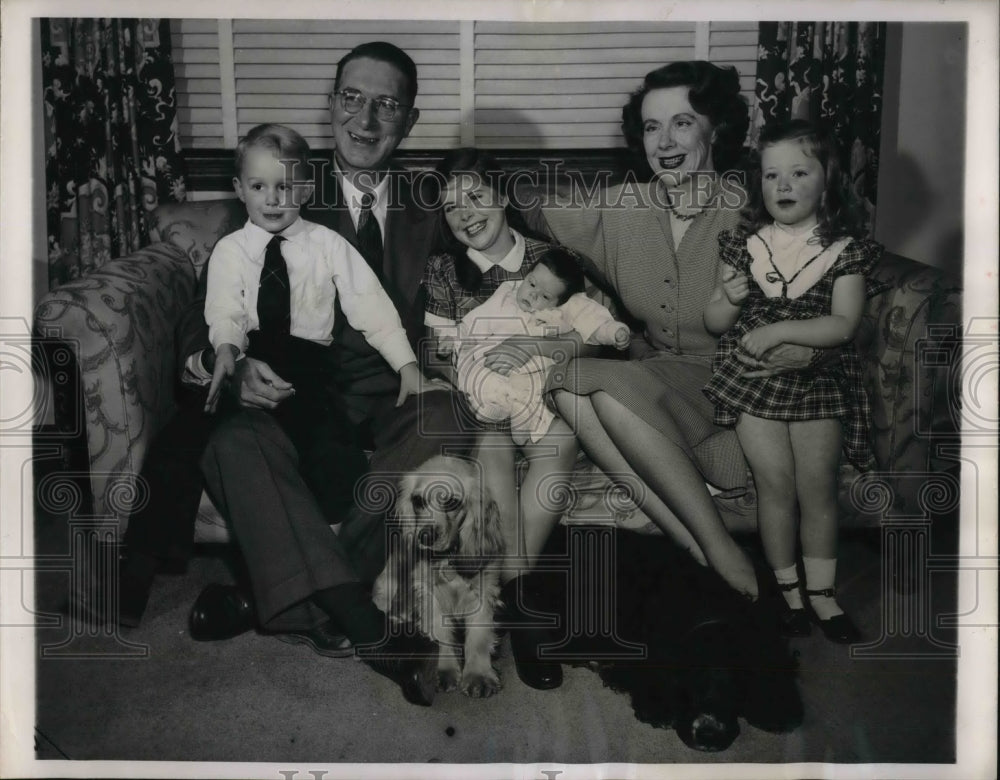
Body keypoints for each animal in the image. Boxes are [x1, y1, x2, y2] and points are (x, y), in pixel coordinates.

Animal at [372, 454, 504, 696]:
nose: (425, 535)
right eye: (417, 501)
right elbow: (439, 632)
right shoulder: (427, 594)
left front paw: (478, 675)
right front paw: (445, 671)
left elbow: (479, 637)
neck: (446, 561)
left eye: (451, 502)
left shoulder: (483, 592)